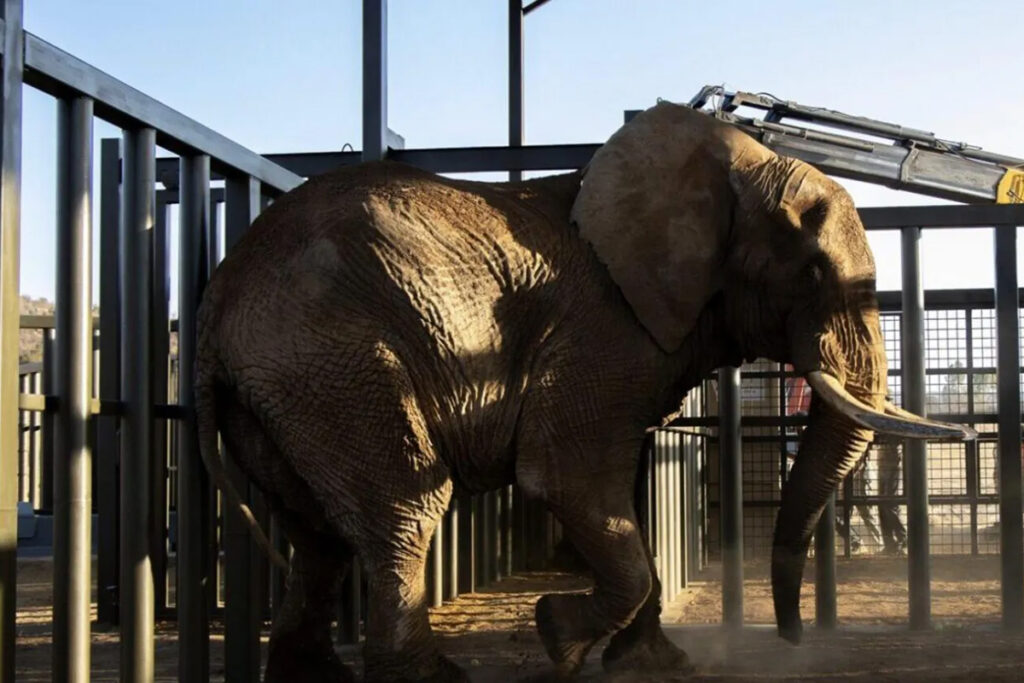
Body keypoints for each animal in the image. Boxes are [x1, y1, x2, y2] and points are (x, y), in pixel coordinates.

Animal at [193, 101, 973, 681]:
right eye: (810, 273)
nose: (791, 641)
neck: (729, 167)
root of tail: (220, 291)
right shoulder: (601, 326)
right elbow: (566, 476)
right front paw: (558, 638)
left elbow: (621, 494)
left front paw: (657, 663)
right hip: (335, 357)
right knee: (405, 507)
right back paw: (433, 677)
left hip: (287, 383)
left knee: (315, 528)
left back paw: (311, 677)